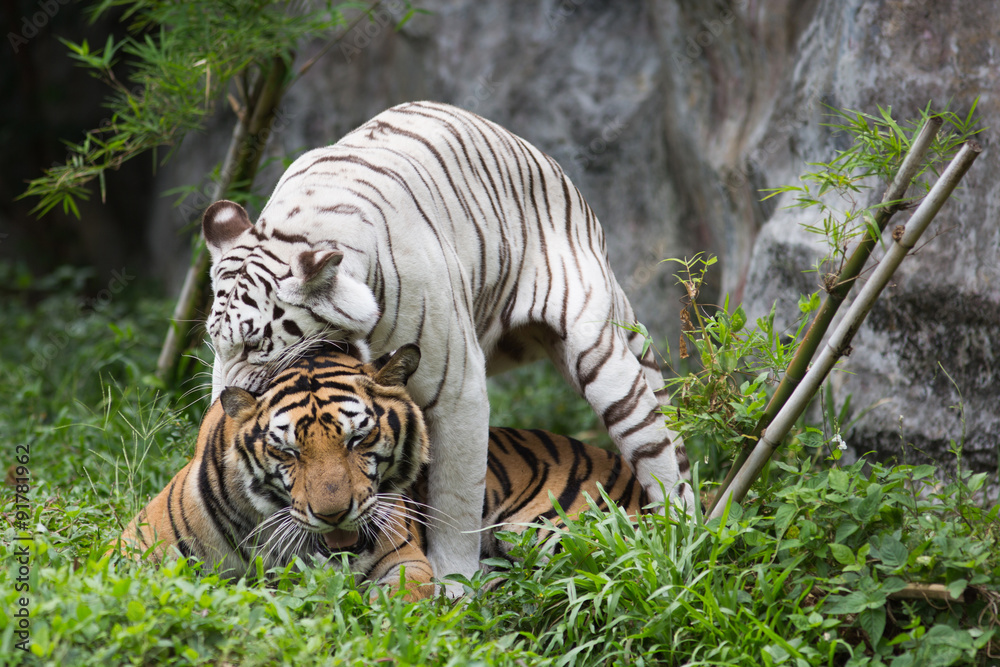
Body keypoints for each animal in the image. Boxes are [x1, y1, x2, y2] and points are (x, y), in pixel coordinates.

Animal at [199, 100, 692, 588]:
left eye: (254, 344)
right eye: (215, 343)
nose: (223, 404)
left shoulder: (457, 392)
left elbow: (455, 500)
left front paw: (455, 583)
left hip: (602, 360)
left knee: (660, 454)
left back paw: (679, 542)